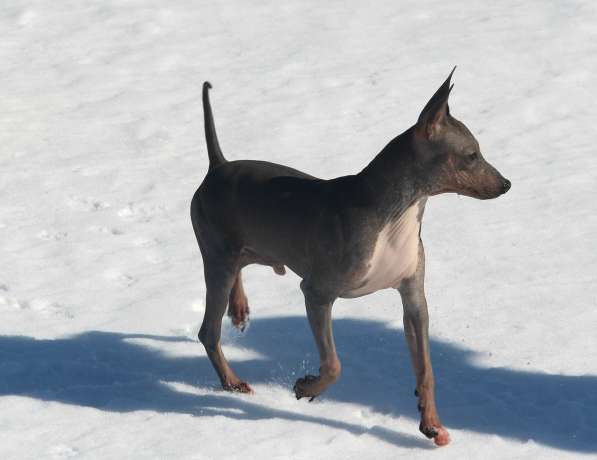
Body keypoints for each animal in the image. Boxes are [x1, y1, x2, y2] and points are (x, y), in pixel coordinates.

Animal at [190, 68, 508, 446]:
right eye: (472, 155)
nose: (506, 184)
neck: (396, 216)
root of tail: (217, 168)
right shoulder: (317, 293)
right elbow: (333, 365)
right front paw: (306, 388)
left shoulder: (414, 299)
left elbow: (426, 369)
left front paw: (431, 422)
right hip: (216, 259)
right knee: (209, 331)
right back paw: (232, 382)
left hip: (242, 252)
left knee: (236, 276)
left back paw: (238, 309)